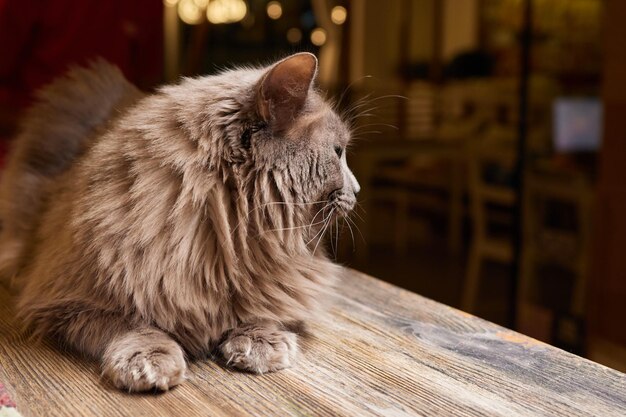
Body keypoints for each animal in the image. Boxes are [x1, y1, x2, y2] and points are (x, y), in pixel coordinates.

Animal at [0, 52, 358, 390]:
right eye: (338, 152)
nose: (356, 188)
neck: (228, 239)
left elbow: (265, 306)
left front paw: (259, 341)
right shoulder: (66, 298)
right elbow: (130, 323)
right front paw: (148, 359)